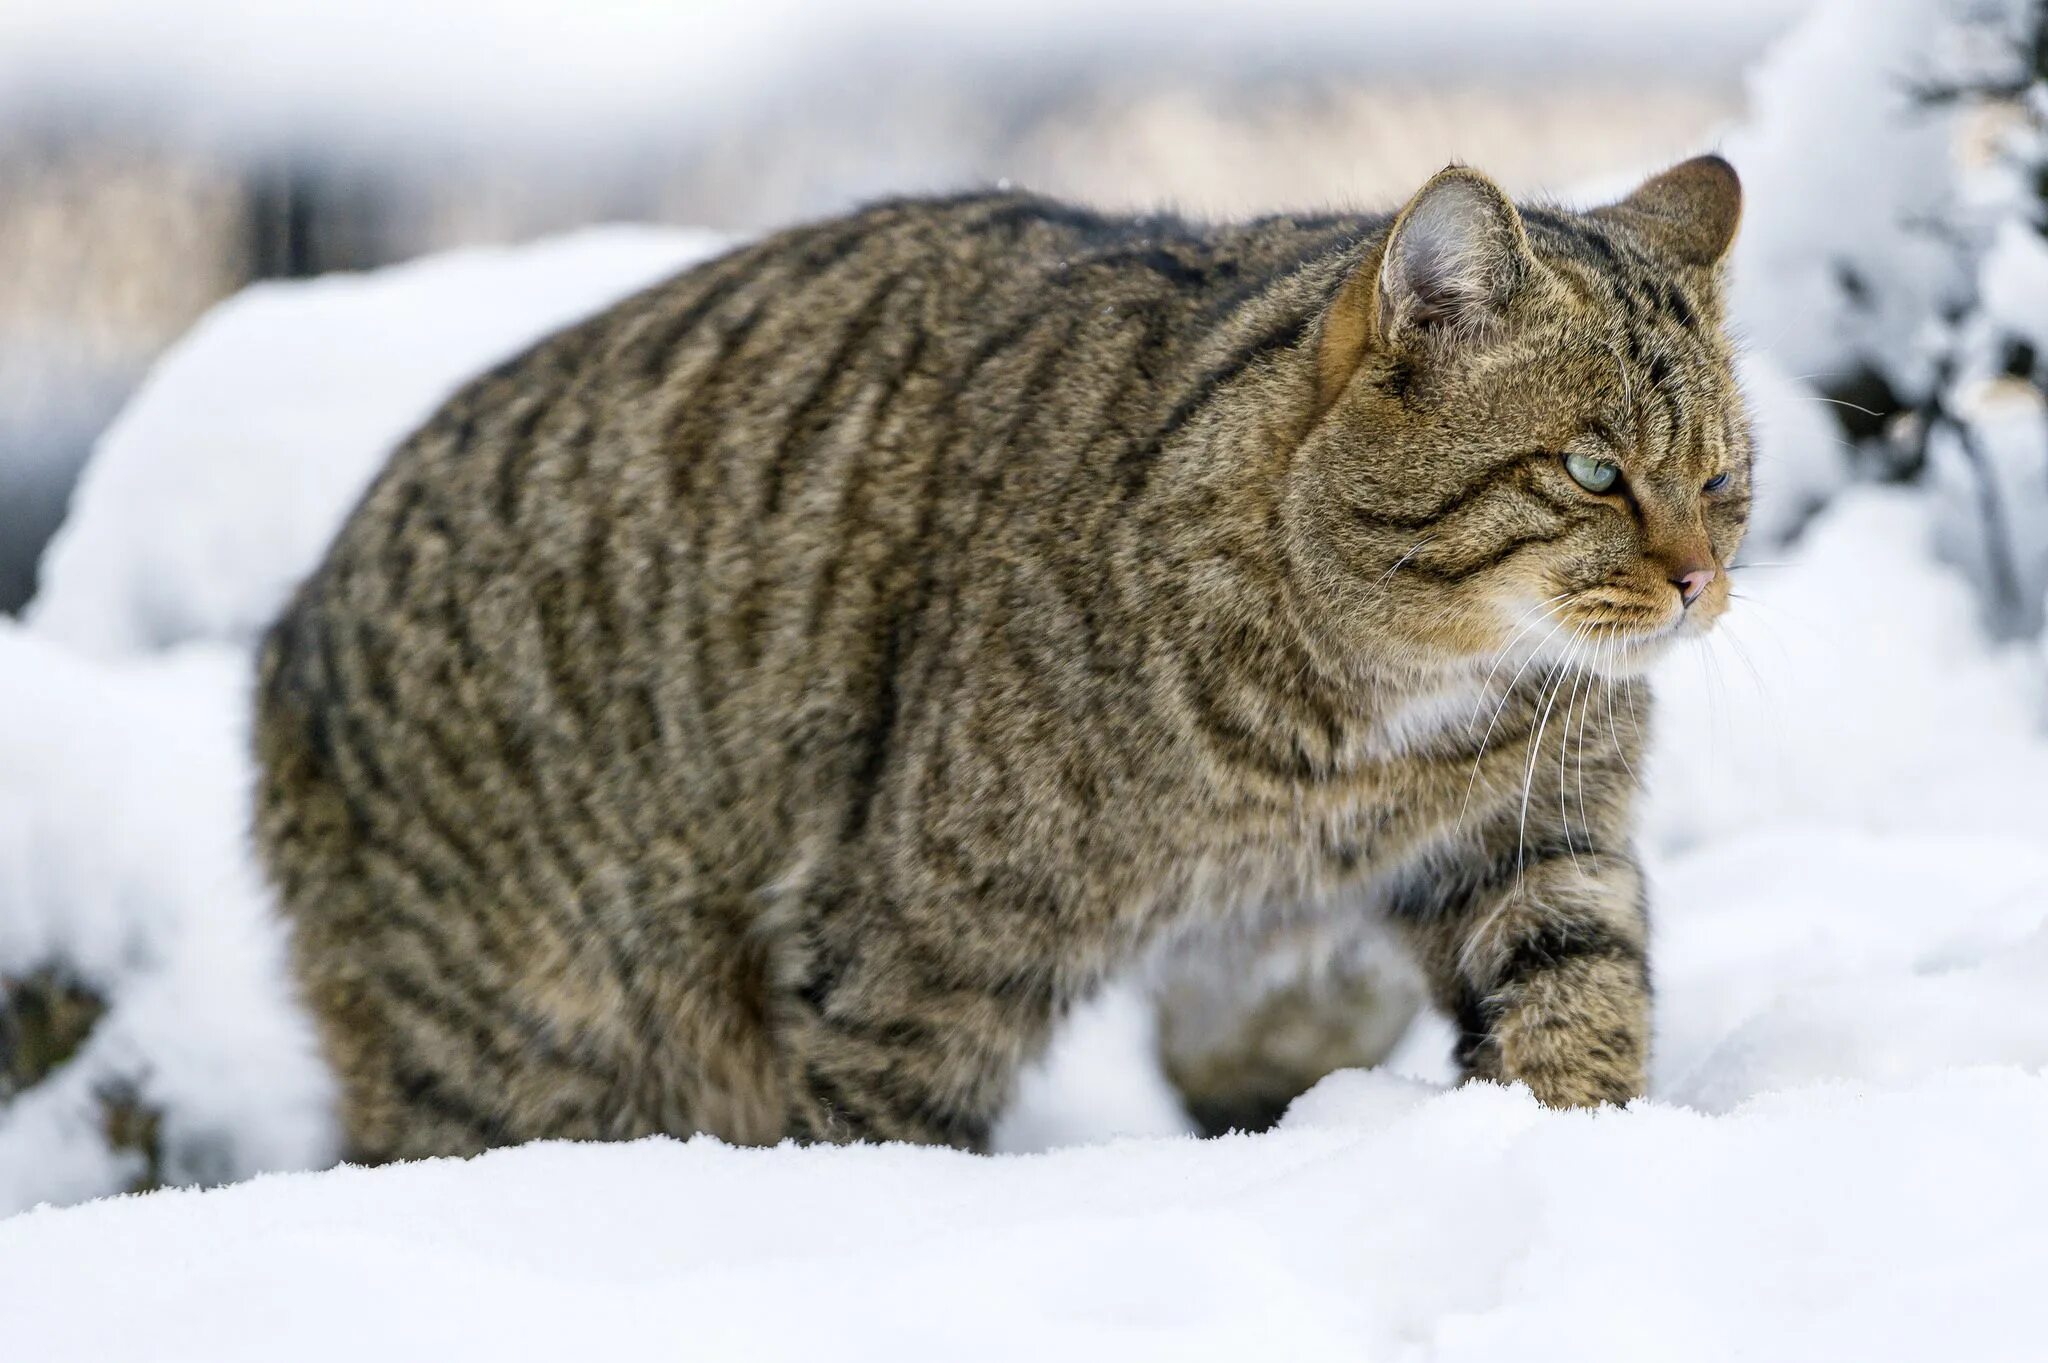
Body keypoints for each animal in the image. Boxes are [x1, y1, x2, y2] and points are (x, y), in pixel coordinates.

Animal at [256, 159, 1753, 1154]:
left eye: (1723, 479)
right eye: (1592, 469)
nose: (1697, 580)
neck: (1372, 718)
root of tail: (289, 632)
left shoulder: (1533, 844)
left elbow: (1578, 998)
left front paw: (1572, 1152)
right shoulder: (924, 944)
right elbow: (885, 1118)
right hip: (541, 1041)